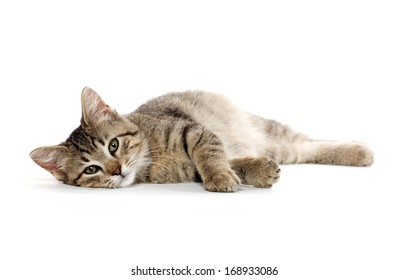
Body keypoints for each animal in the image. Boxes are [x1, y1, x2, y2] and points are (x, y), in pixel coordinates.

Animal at [29, 87, 372, 192]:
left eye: (113, 145)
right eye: (91, 170)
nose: (117, 171)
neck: (151, 159)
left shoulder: (195, 132)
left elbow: (209, 155)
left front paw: (219, 178)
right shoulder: (195, 163)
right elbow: (233, 162)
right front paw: (257, 170)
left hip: (271, 131)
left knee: (311, 142)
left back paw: (359, 150)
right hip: (279, 145)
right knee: (304, 148)